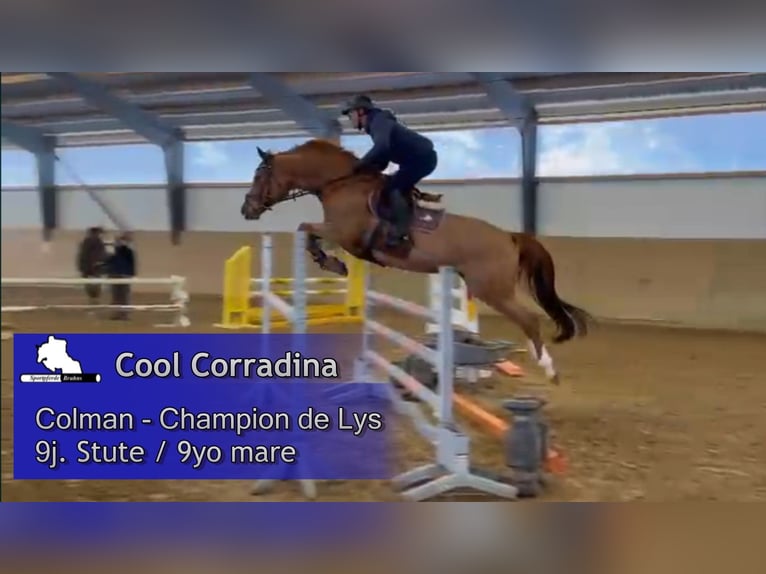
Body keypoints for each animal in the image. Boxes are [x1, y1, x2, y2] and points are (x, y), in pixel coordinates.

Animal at [240, 139, 591, 384]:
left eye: (258, 175)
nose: (247, 210)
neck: (340, 184)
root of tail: (510, 237)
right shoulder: (341, 235)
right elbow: (310, 233)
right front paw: (333, 263)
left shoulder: (343, 233)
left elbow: (306, 229)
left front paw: (332, 264)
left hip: (492, 289)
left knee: (529, 319)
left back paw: (548, 368)